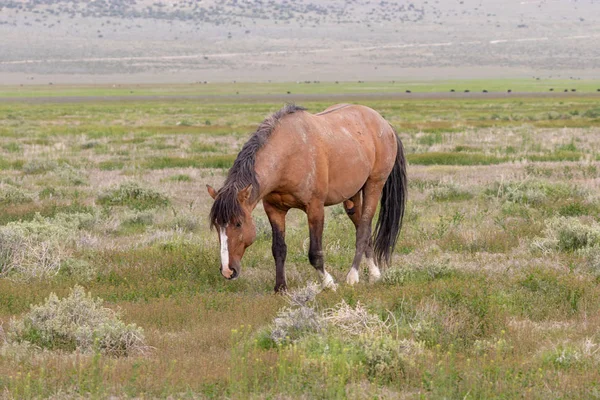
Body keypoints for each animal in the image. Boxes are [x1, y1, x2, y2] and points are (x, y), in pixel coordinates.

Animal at [206, 103, 408, 292]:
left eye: (238, 224)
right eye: (216, 225)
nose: (227, 271)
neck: (289, 155)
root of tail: (385, 124)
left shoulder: (315, 209)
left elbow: (315, 253)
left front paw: (329, 283)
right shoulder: (274, 209)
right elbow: (278, 249)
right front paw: (280, 287)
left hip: (374, 185)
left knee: (363, 230)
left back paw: (353, 276)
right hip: (352, 195)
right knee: (362, 228)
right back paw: (374, 273)